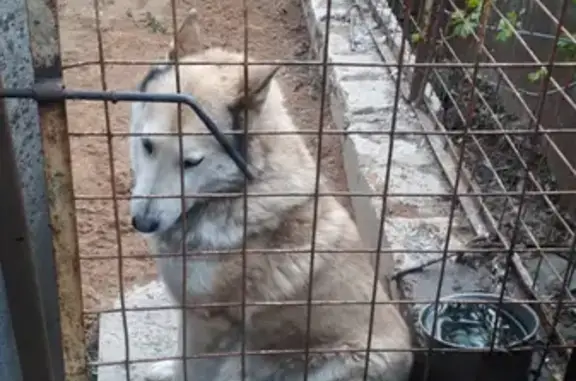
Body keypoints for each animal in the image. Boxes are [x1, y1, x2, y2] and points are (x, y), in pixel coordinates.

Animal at [128, 8, 412, 380]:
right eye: (147, 145)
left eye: (191, 162)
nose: (142, 223)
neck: (239, 191)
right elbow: (179, 356)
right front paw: (166, 369)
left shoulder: (208, 323)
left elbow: (191, 366)